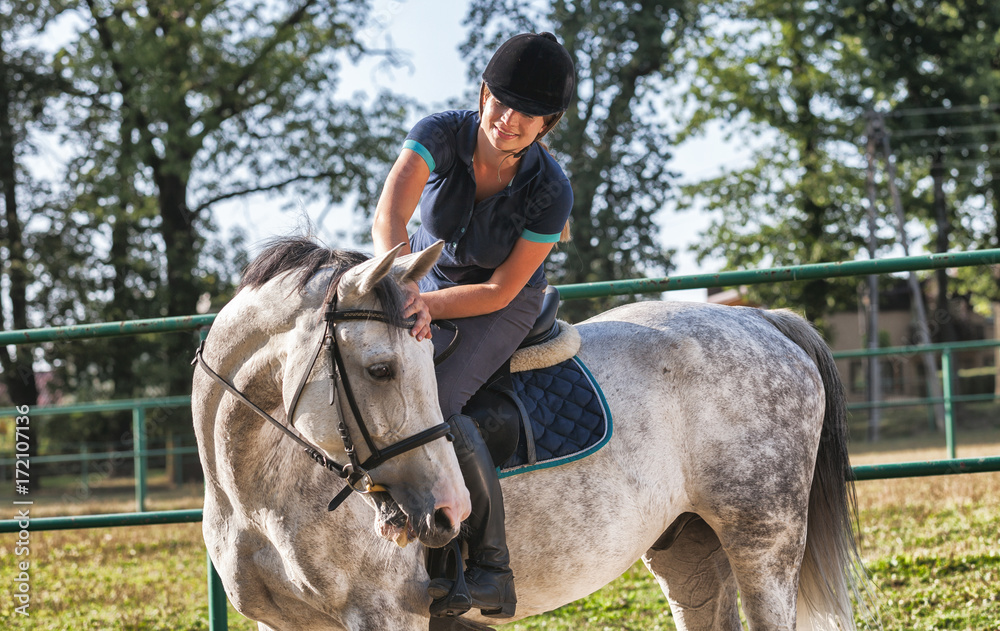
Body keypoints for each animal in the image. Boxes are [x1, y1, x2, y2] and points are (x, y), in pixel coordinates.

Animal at [191, 238, 872, 631]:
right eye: (382, 369)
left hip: (763, 541)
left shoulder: (387, 615)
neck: (255, 496)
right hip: (687, 549)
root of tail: (764, 319)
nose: (447, 511)